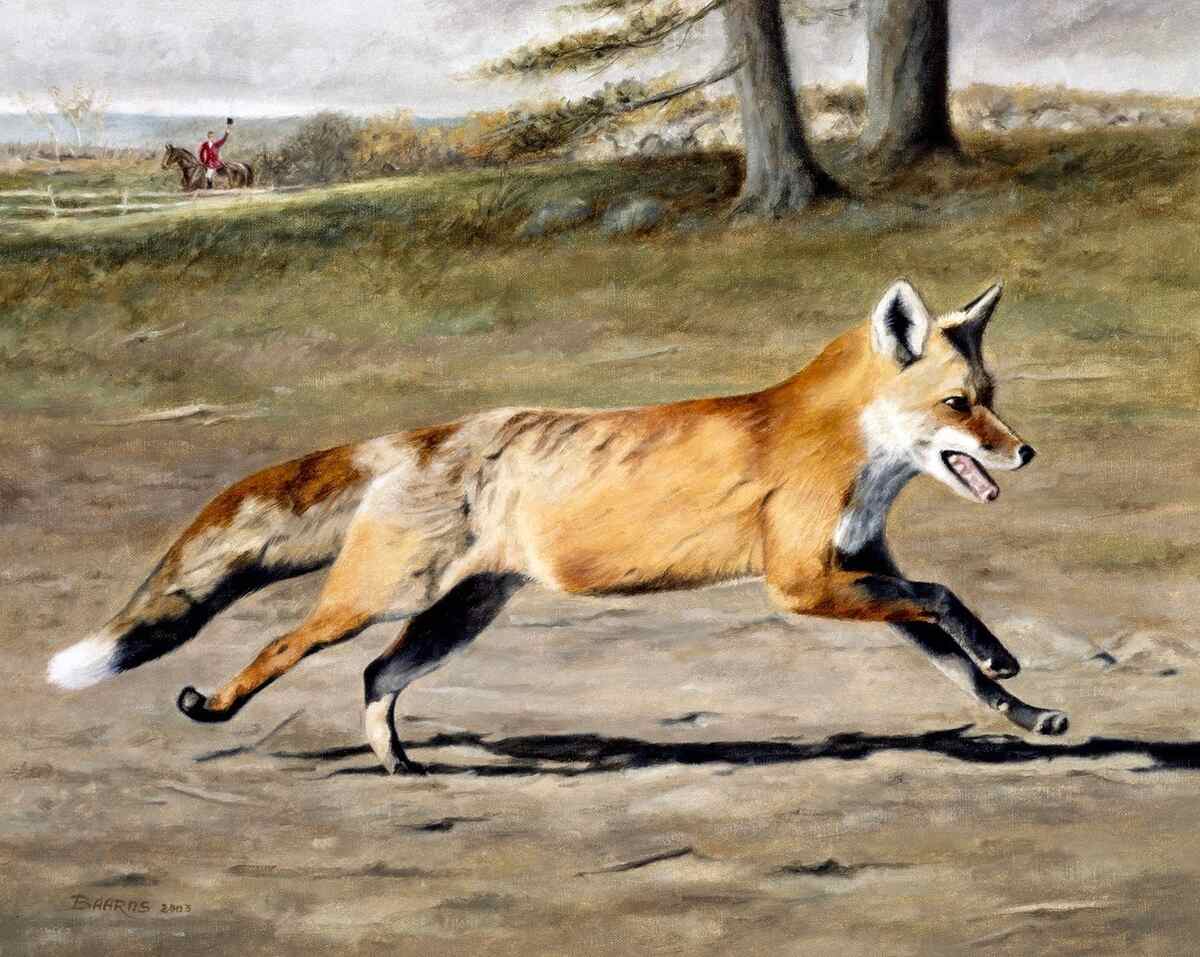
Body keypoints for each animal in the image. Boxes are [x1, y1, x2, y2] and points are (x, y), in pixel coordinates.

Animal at [47, 278, 1067, 774]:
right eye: (959, 404)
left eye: (992, 396)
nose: (1026, 453)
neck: (840, 446)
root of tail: (423, 437)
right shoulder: (805, 584)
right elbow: (940, 598)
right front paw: (1005, 657)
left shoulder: (858, 570)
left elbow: (956, 655)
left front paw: (1025, 708)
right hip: (378, 596)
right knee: (282, 645)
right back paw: (218, 707)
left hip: (458, 616)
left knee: (376, 675)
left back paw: (398, 764)